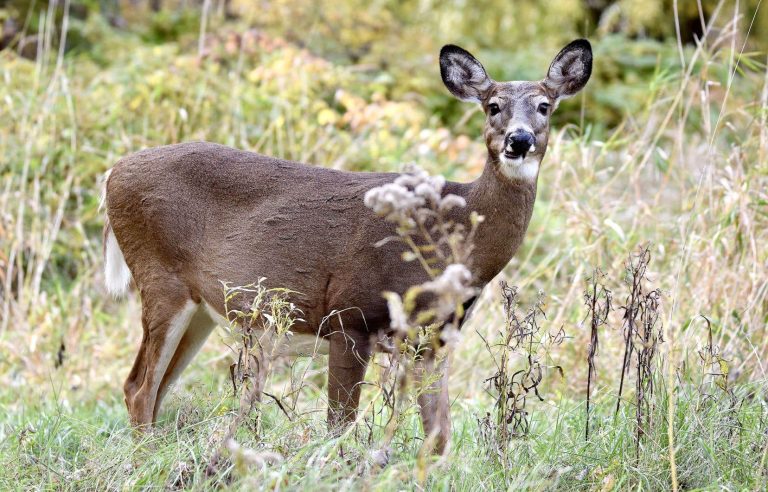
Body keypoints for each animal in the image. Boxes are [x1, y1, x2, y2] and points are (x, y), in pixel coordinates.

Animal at [103, 38, 592, 454]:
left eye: (545, 106)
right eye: (493, 106)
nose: (519, 139)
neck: (442, 240)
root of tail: (111, 174)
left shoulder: (433, 340)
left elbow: (438, 437)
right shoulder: (349, 314)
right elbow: (338, 427)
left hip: (203, 307)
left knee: (154, 387)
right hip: (160, 276)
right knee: (139, 388)